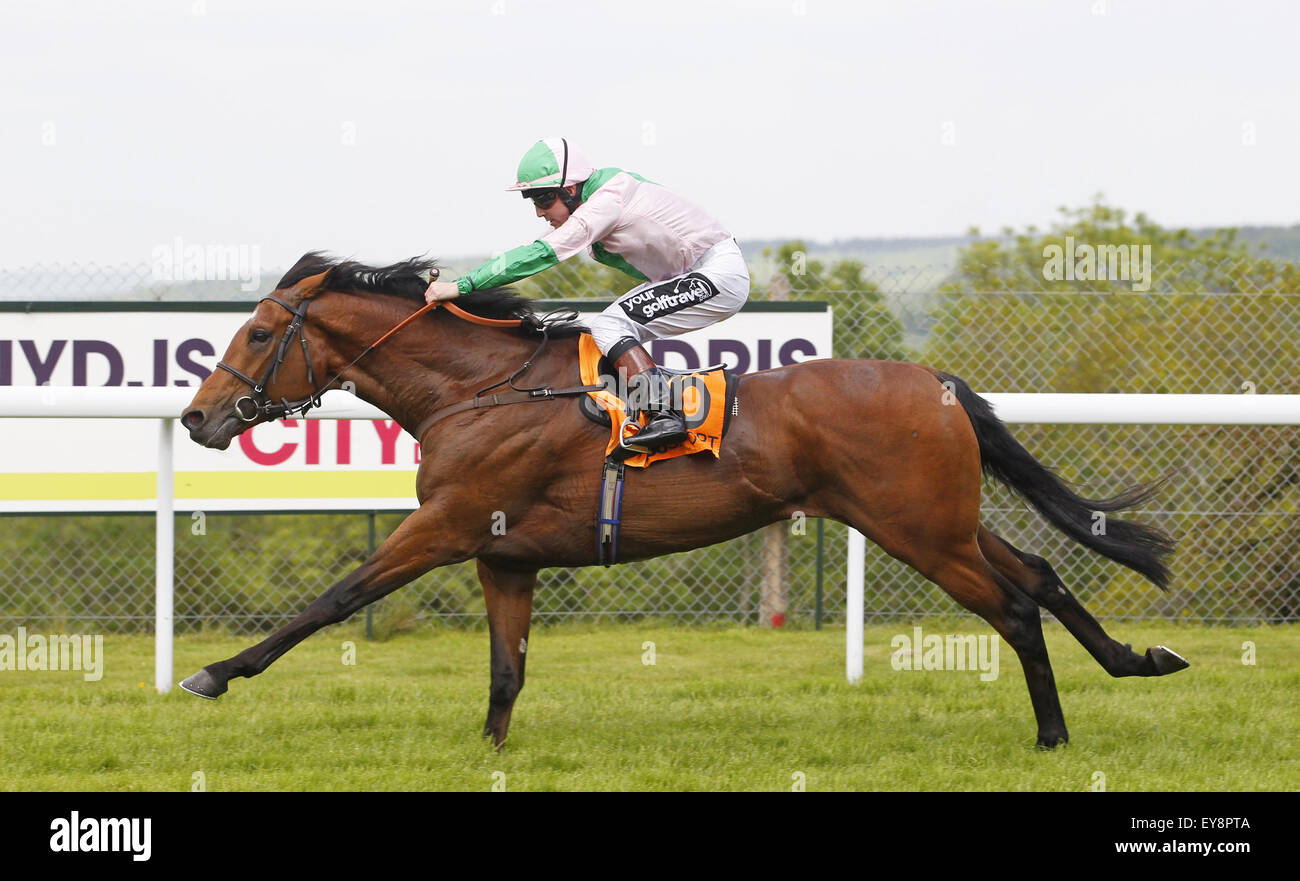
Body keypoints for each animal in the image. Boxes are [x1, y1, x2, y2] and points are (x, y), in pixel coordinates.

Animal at [180, 252, 1190, 748]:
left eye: (260, 332)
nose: (197, 416)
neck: (483, 387)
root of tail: (933, 379)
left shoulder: (449, 524)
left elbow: (335, 597)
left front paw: (215, 672)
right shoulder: (505, 553)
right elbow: (506, 670)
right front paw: (492, 754)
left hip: (920, 533)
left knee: (1016, 608)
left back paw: (1053, 734)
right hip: (943, 520)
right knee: (1045, 573)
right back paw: (1138, 660)